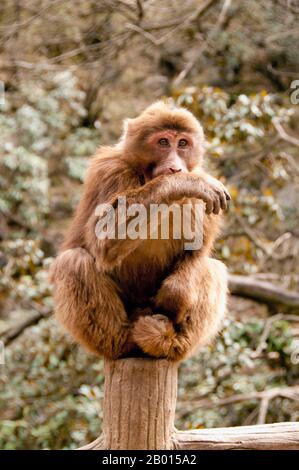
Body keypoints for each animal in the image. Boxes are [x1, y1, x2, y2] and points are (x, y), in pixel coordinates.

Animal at [50, 101, 231, 362]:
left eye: (183, 143)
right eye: (163, 142)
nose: (175, 167)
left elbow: (195, 254)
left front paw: (173, 296)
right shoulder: (111, 171)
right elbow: (105, 239)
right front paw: (183, 183)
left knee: (213, 268)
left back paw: (171, 343)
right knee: (73, 261)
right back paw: (123, 341)